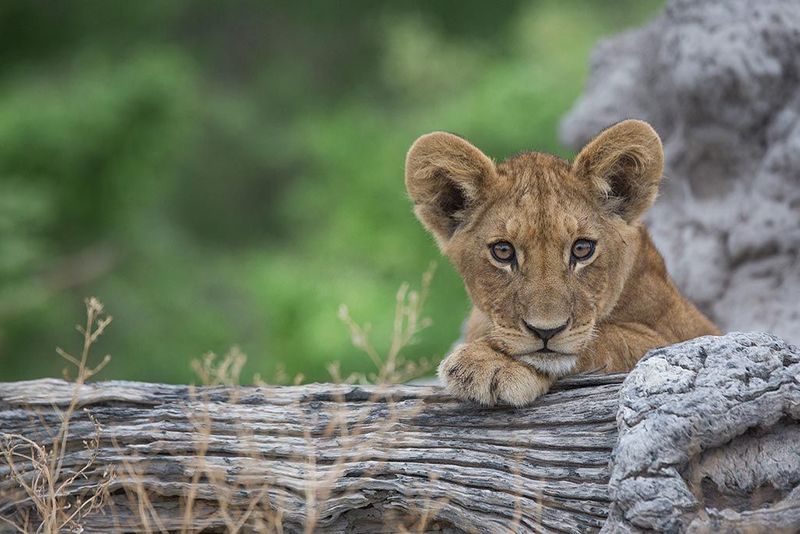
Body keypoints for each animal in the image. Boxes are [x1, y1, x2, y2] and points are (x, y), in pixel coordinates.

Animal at [405, 120, 720, 406]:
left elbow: (608, 338)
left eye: (582, 249)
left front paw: (487, 361)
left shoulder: (685, 334)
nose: (546, 331)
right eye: (503, 251)